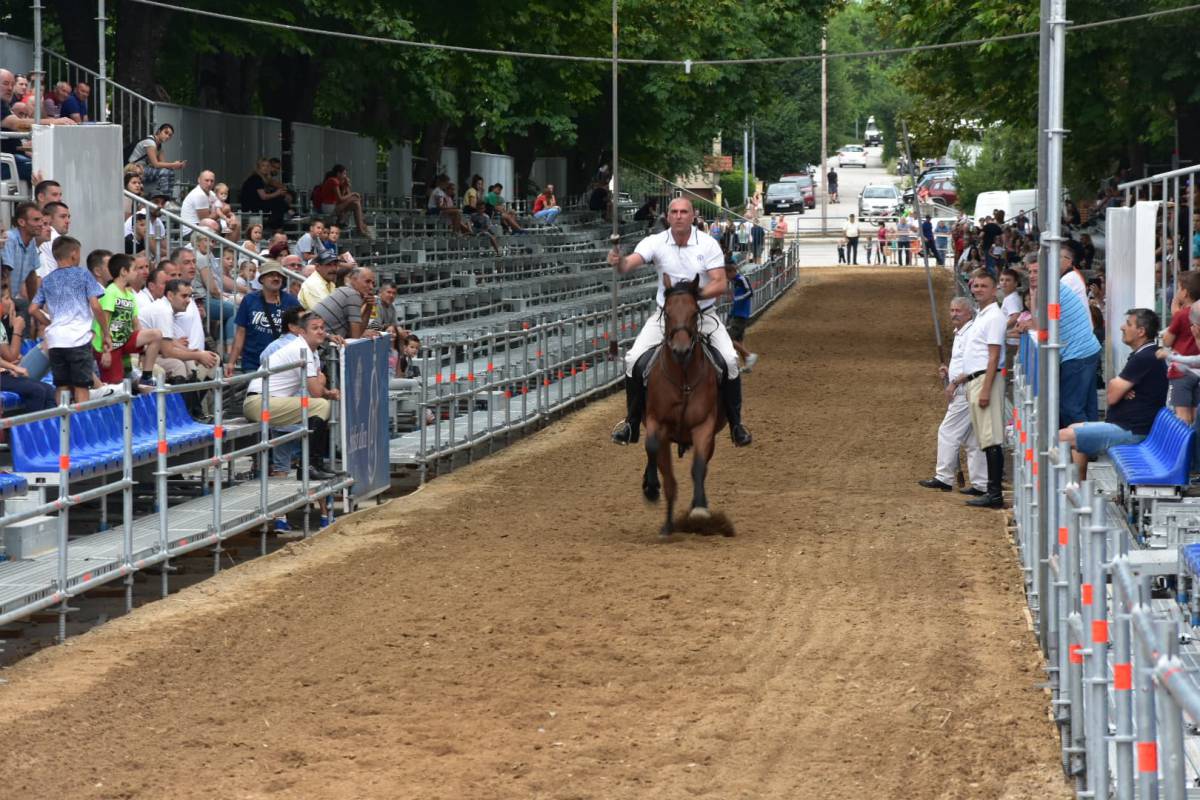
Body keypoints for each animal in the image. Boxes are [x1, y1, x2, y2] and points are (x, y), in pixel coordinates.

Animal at [648, 272, 720, 534]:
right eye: (667, 313)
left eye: (694, 312)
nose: (681, 350)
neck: (683, 380)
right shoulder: (656, 421)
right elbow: (654, 452)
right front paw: (651, 489)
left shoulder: (704, 425)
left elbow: (698, 467)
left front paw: (699, 509)